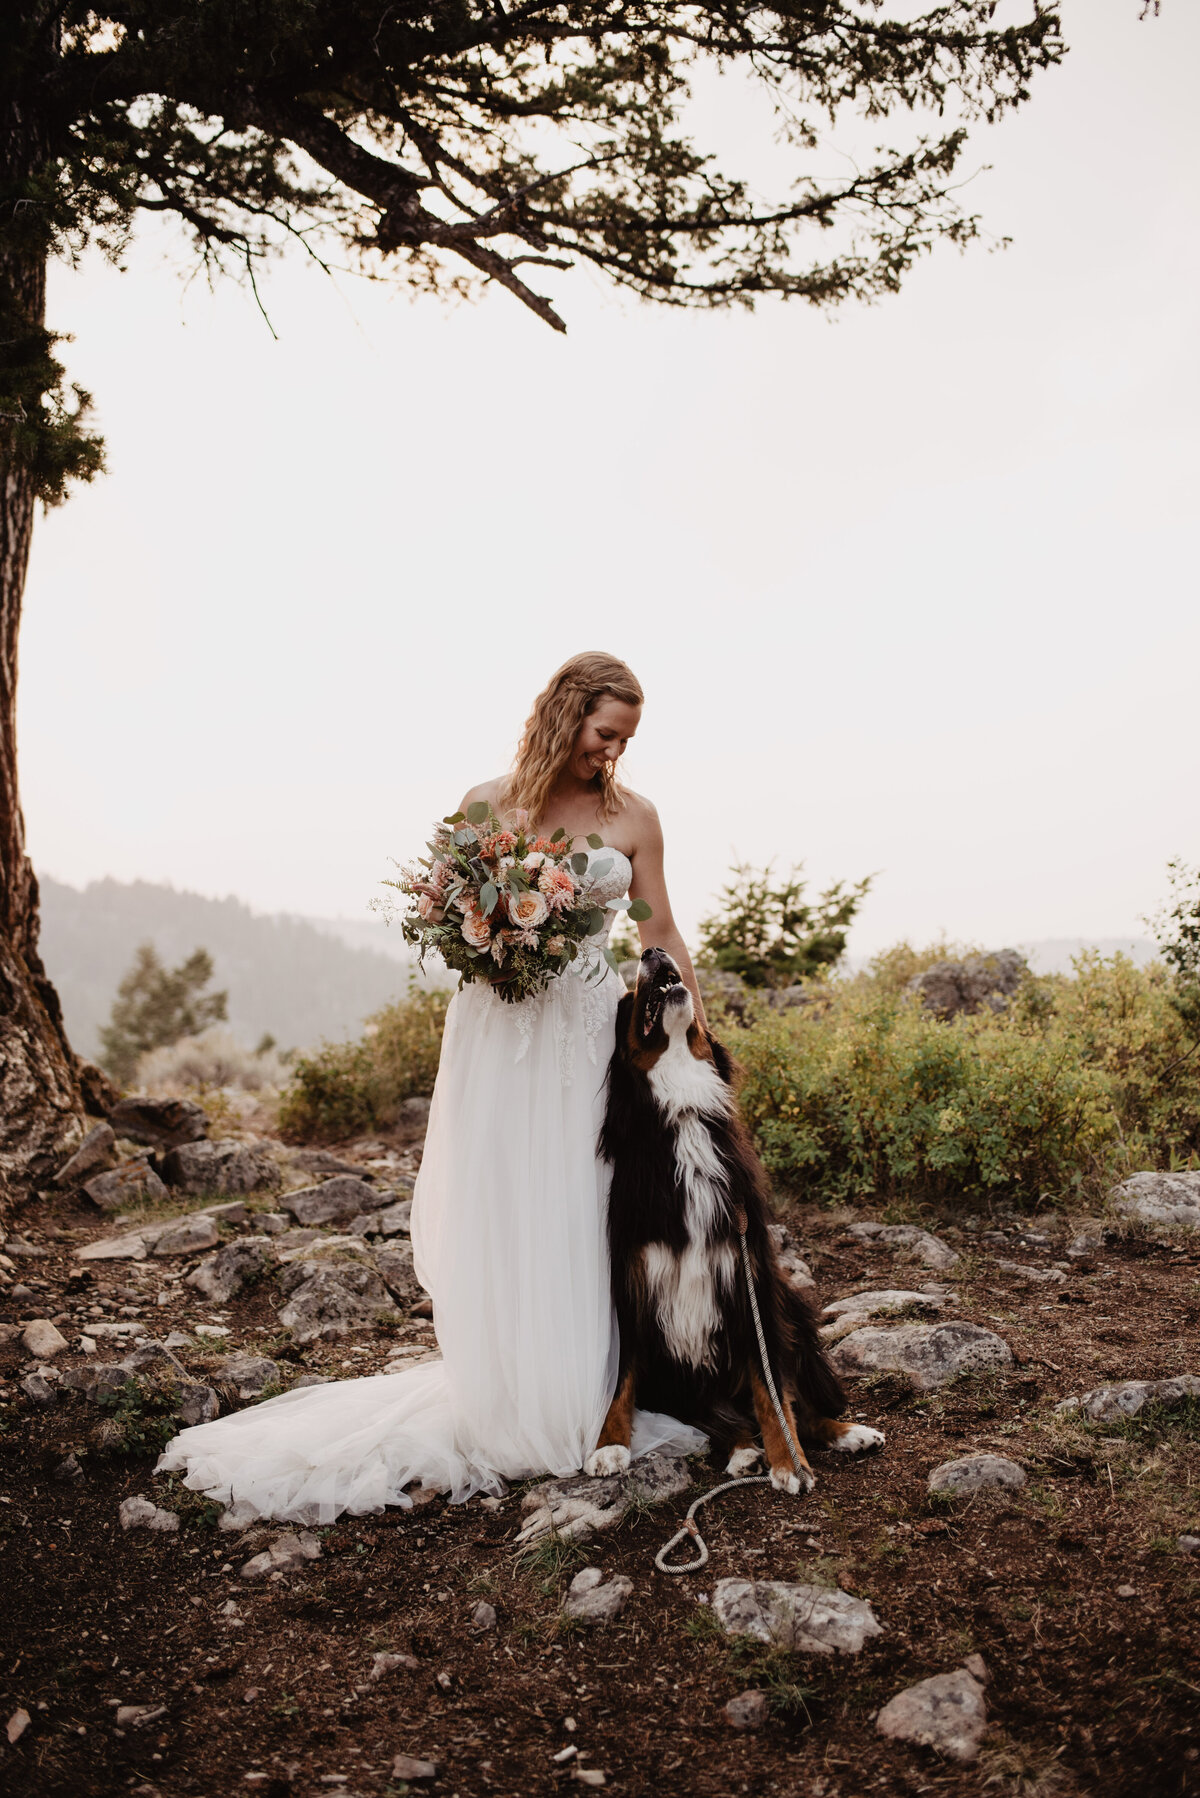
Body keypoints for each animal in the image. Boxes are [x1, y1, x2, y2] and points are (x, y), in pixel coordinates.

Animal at [586, 942, 888, 1488]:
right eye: (628, 1001)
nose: (654, 949)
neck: (683, 1114)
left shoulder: (750, 1279)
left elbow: (773, 1391)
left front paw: (789, 1460)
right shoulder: (634, 1284)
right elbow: (622, 1377)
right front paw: (608, 1444)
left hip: (793, 1308)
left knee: (796, 1403)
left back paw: (846, 1433)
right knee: (715, 1415)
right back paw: (744, 1448)